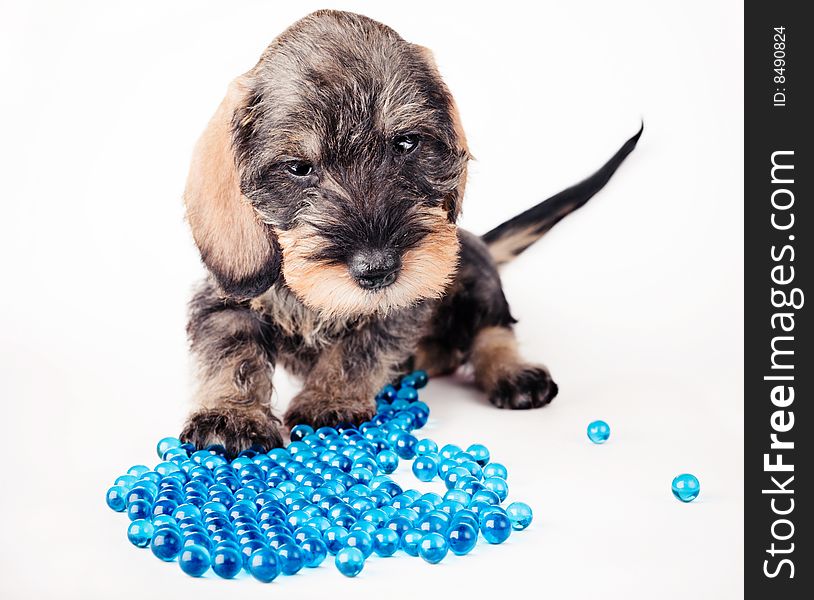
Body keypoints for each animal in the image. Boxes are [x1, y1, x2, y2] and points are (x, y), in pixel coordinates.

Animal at [180, 9, 644, 454]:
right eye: (298, 168)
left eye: (406, 143)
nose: (378, 269)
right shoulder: (225, 299)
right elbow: (232, 350)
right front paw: (232, 414)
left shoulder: (402, 303)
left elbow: (359, 348)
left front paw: (330, 399)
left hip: (472, 268)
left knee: (492, 329)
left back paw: (512, 372)